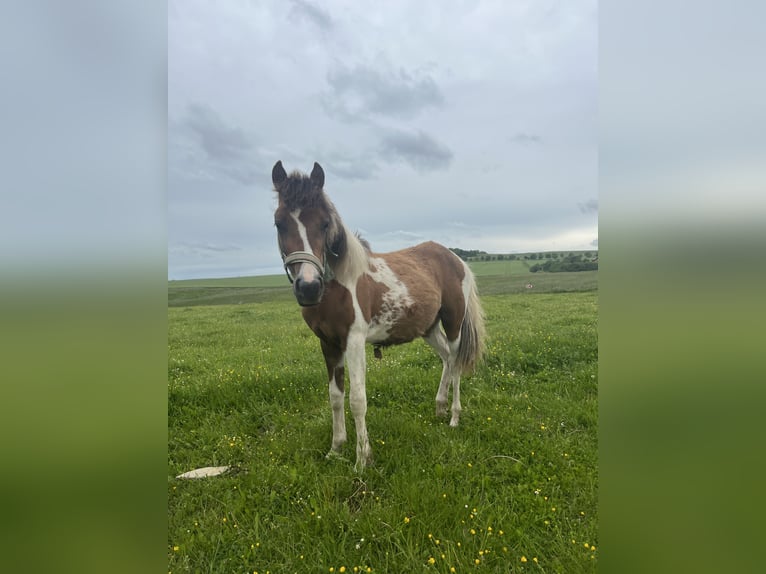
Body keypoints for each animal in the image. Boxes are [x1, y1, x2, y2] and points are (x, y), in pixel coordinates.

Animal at [270, 160, 486, 470]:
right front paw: (336, 449)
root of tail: (455, 259)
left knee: (455, 362)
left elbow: (357, 400)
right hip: (429, 329)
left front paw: (362, 459)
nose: (309, 288)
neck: (339, 284)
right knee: (446, 358)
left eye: (324, 223)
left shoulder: (354, 341)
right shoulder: (328, 344)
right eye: (279, 223)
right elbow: (335, 397)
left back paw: (455, 416)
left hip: (453, 322)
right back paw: (440, 407)